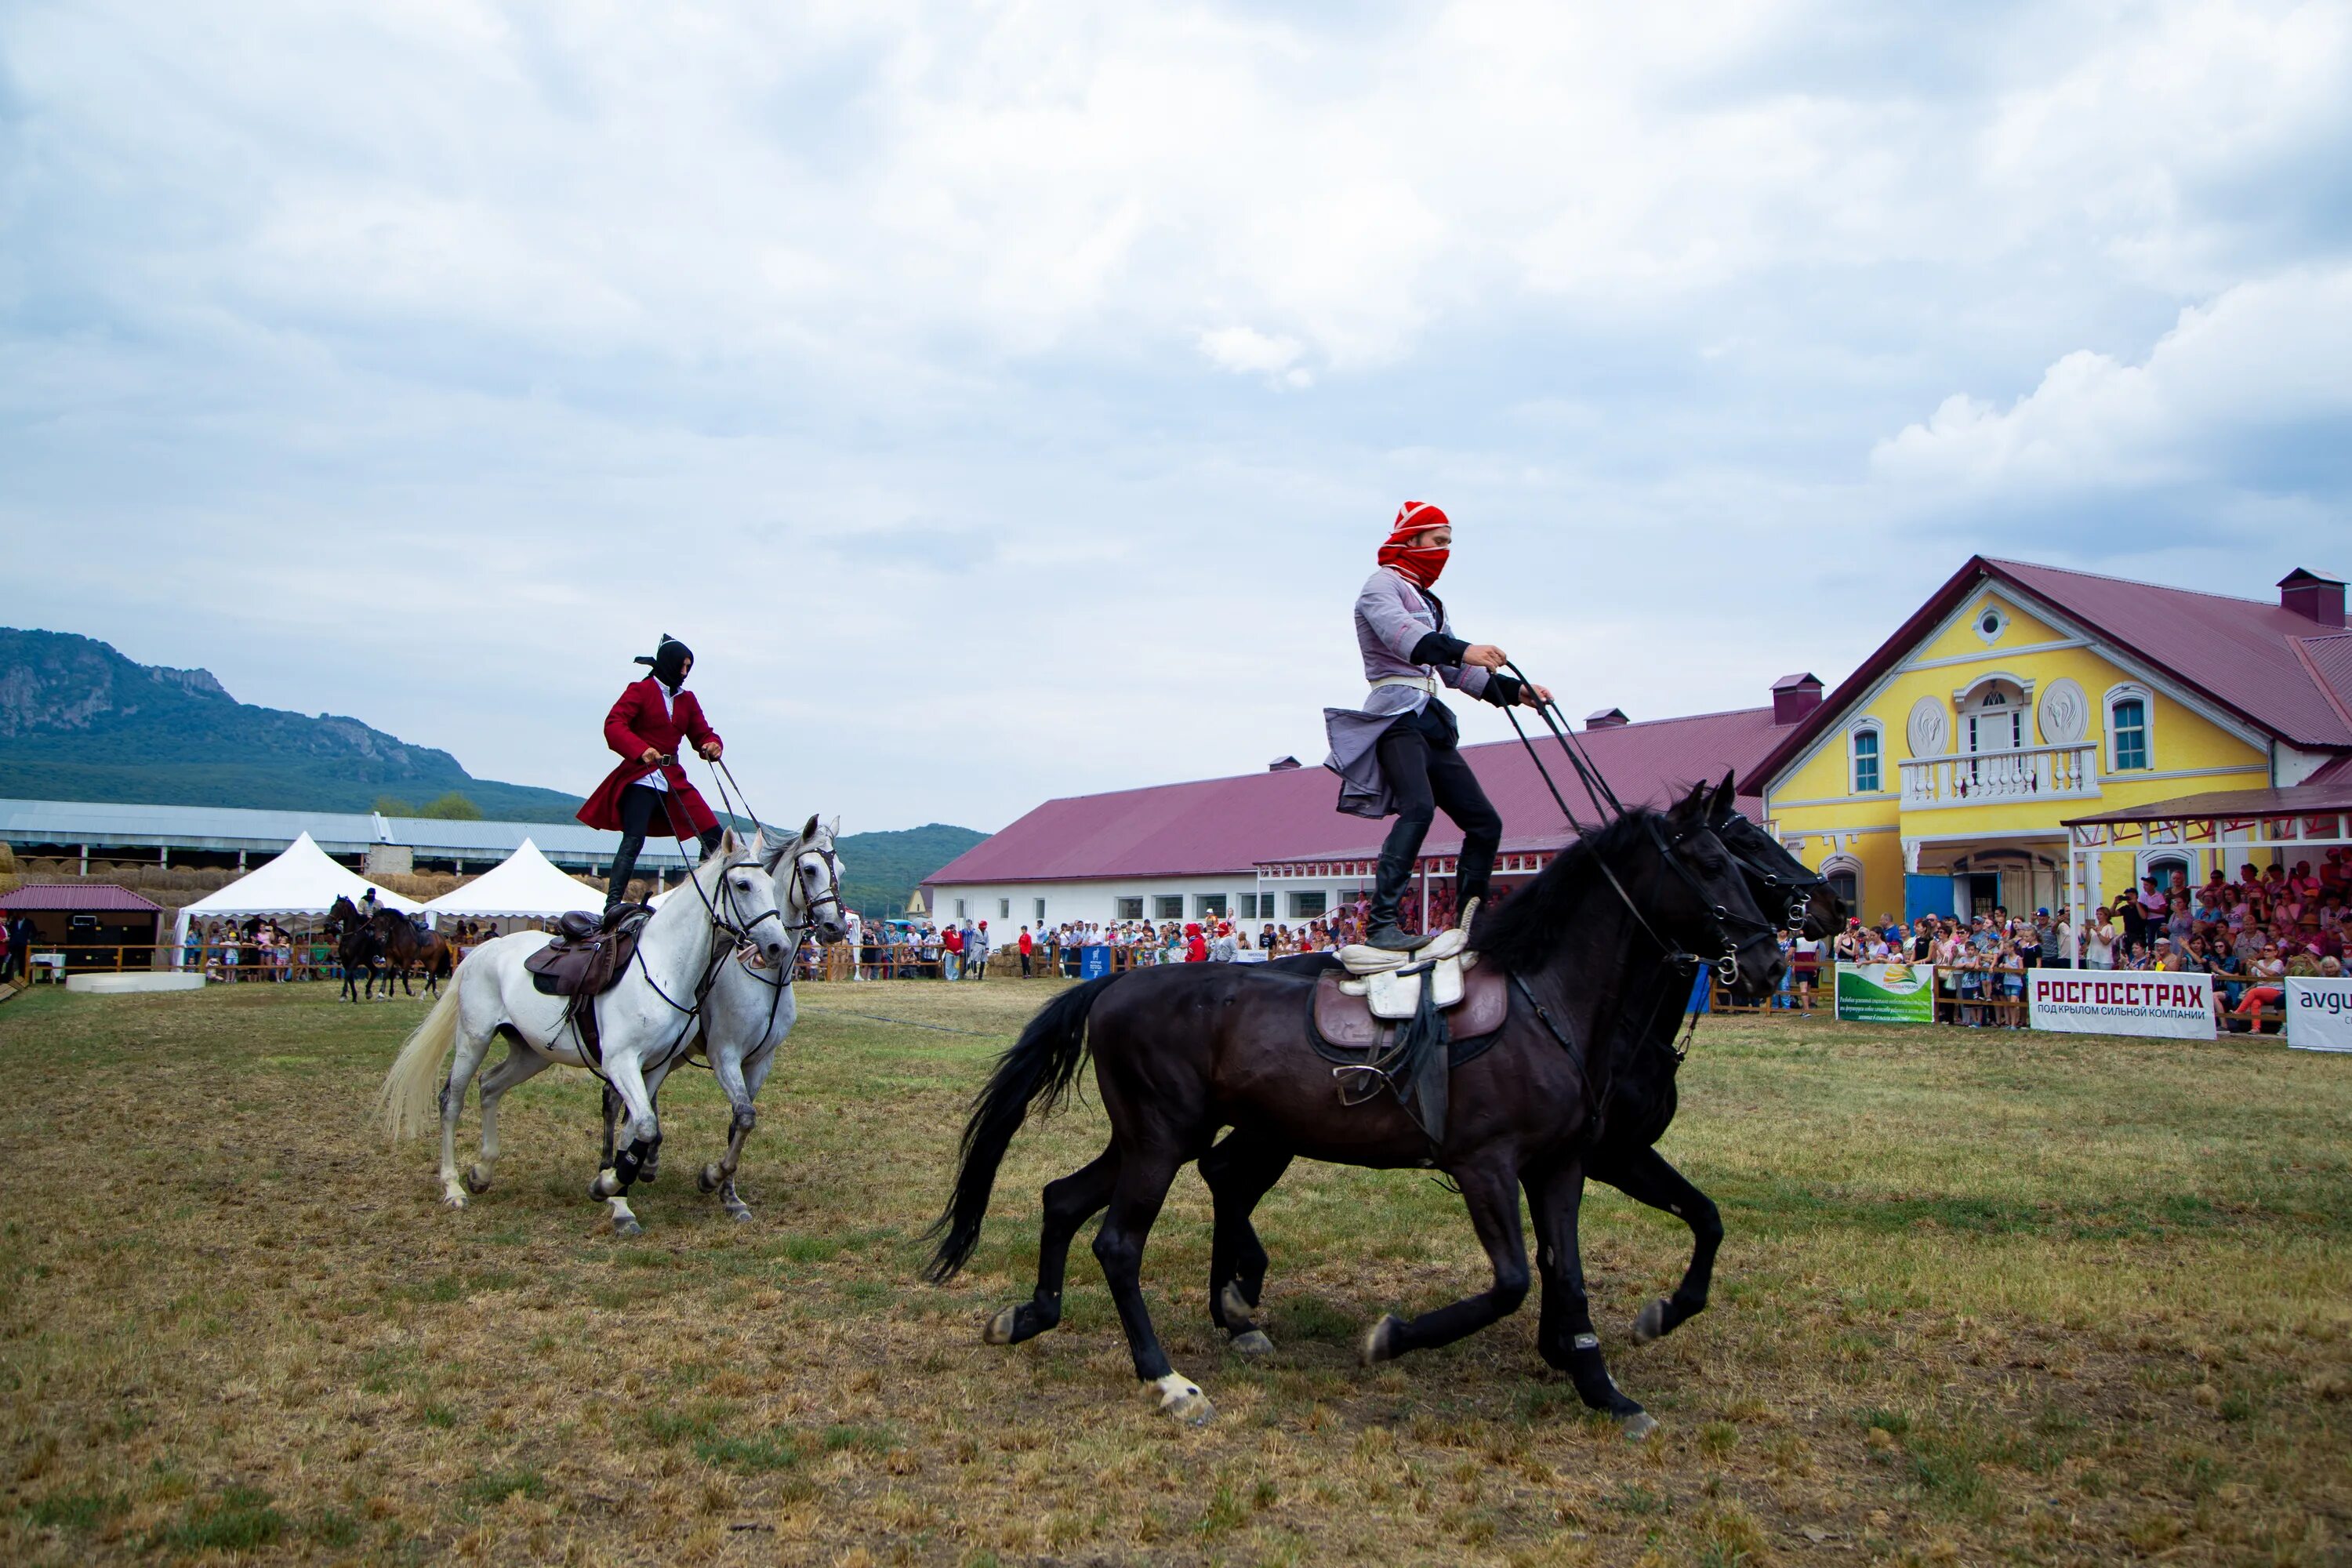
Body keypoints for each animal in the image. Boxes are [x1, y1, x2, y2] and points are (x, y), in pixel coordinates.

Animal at [376, 827, 795, 1222]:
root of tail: (481, 950)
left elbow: (637, 1127)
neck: (663, 967)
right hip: (473, 1038)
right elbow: (645, 1125)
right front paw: (610, 1188)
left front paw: (614, 1191)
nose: (778, 947)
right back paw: (453, 1188)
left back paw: (482, 1172)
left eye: (770, 883)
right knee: (452, 1099)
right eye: (743, 885)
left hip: (530, 1052)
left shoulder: (656, 1066)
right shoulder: (623, 1062)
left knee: (490, 1086)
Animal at [597, 818, 856, 1232]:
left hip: (669, 1054)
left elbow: (741, 1121)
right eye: (810, 869)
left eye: (841, 871)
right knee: (613, 1098)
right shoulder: (726, 1057)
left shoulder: (759, 1062)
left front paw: (729, 1195)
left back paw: (647, 1163)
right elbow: (745, 1116)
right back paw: (611, 1170)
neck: (766, 976)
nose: (834, 927)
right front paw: (711, 1178)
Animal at [927, 780, 1769, 1439]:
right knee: (1119, 1244)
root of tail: (1117, 981)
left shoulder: (1561, 1167)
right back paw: (1168, 1378)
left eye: (1744, 857)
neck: (1544, 1005)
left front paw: (1605, 1392)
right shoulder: (1487, 1167)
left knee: (1063, 1199)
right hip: (1163, 1140)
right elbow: (1511, 1283)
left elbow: (1570, 1280)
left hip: (1153, 1138)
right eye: (1711, 861)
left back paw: (1034, 1316)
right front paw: (1390, 1338)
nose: (1763, 953)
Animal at [1195, 799, 1835, 1363]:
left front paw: (1599, 1336)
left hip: (1276, 1131)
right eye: (1736, 848)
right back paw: (1237, 1300)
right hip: (1277, 1132)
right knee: (1225, 1177)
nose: (1774, 962)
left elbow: (1700, 1218)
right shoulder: (1605, 1155)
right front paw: (1575, 1341)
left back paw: (1234, 1305)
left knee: (1225, 1176)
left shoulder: (1588, 1156)